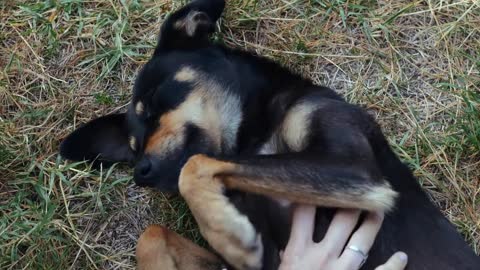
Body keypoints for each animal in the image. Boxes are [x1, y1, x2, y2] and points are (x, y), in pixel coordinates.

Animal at [60, 0, 480, 270]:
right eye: (132, 148)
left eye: (153, 102)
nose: (141, 172)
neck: (252, 138)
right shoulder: (268, 258)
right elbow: (151, 234)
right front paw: (228, 231)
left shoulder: (355, 167)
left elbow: (194, 164)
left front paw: (230, 236)